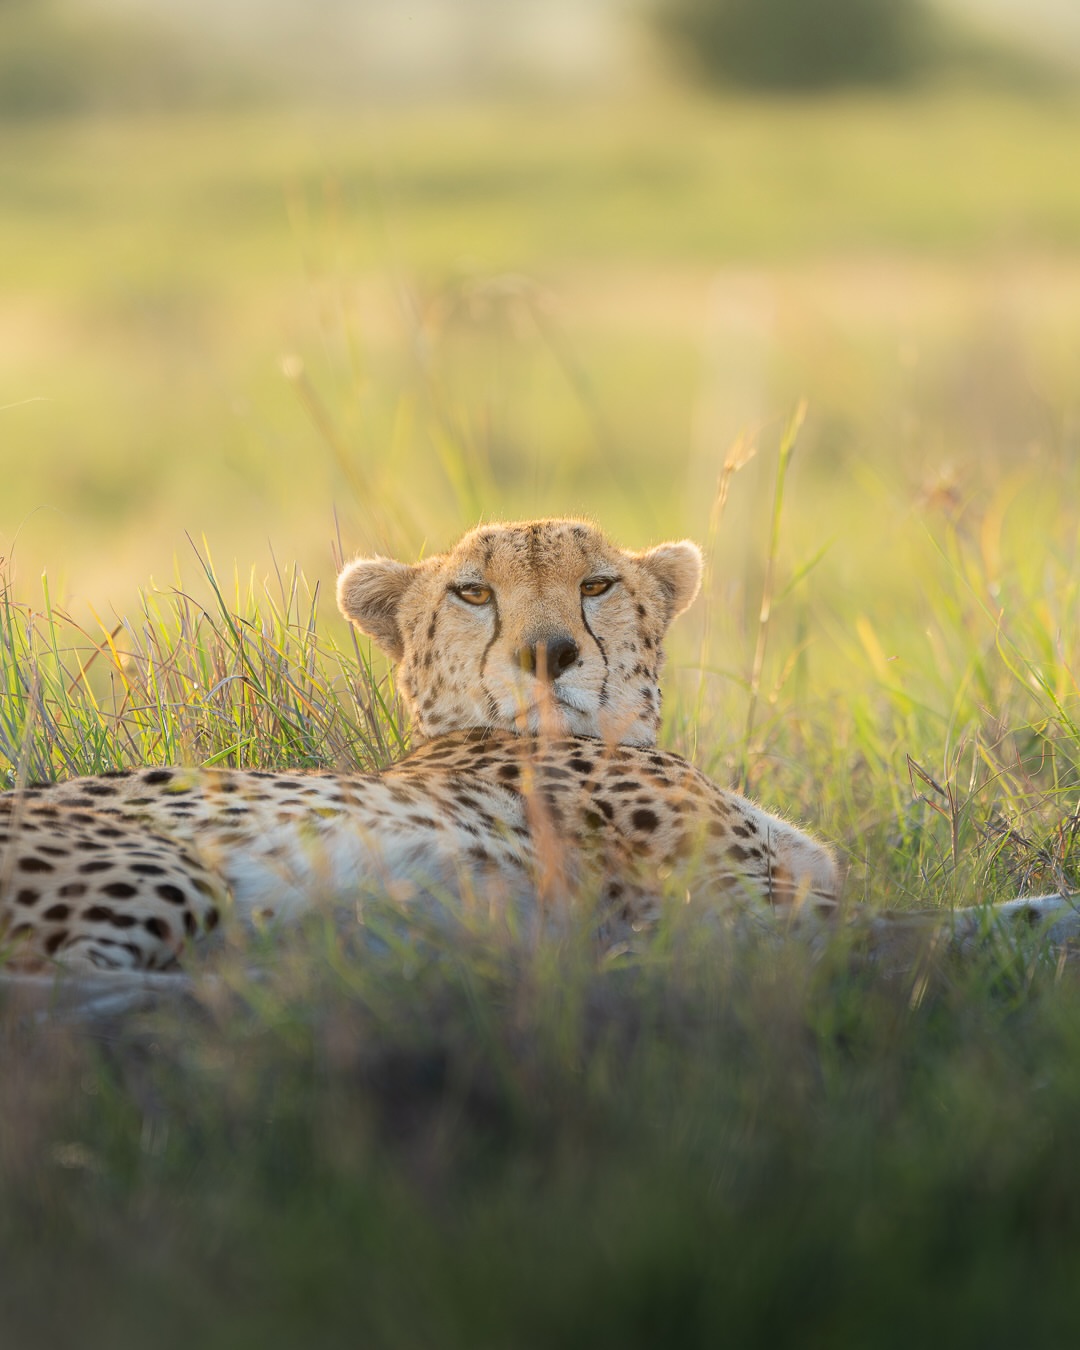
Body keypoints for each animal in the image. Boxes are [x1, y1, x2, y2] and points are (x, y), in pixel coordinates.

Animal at [0, 517, 1075, 977]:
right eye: (473, 592)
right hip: (157, 868)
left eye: (597, 585)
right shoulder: (736, 921)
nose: (546, 651)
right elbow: (944, 926)